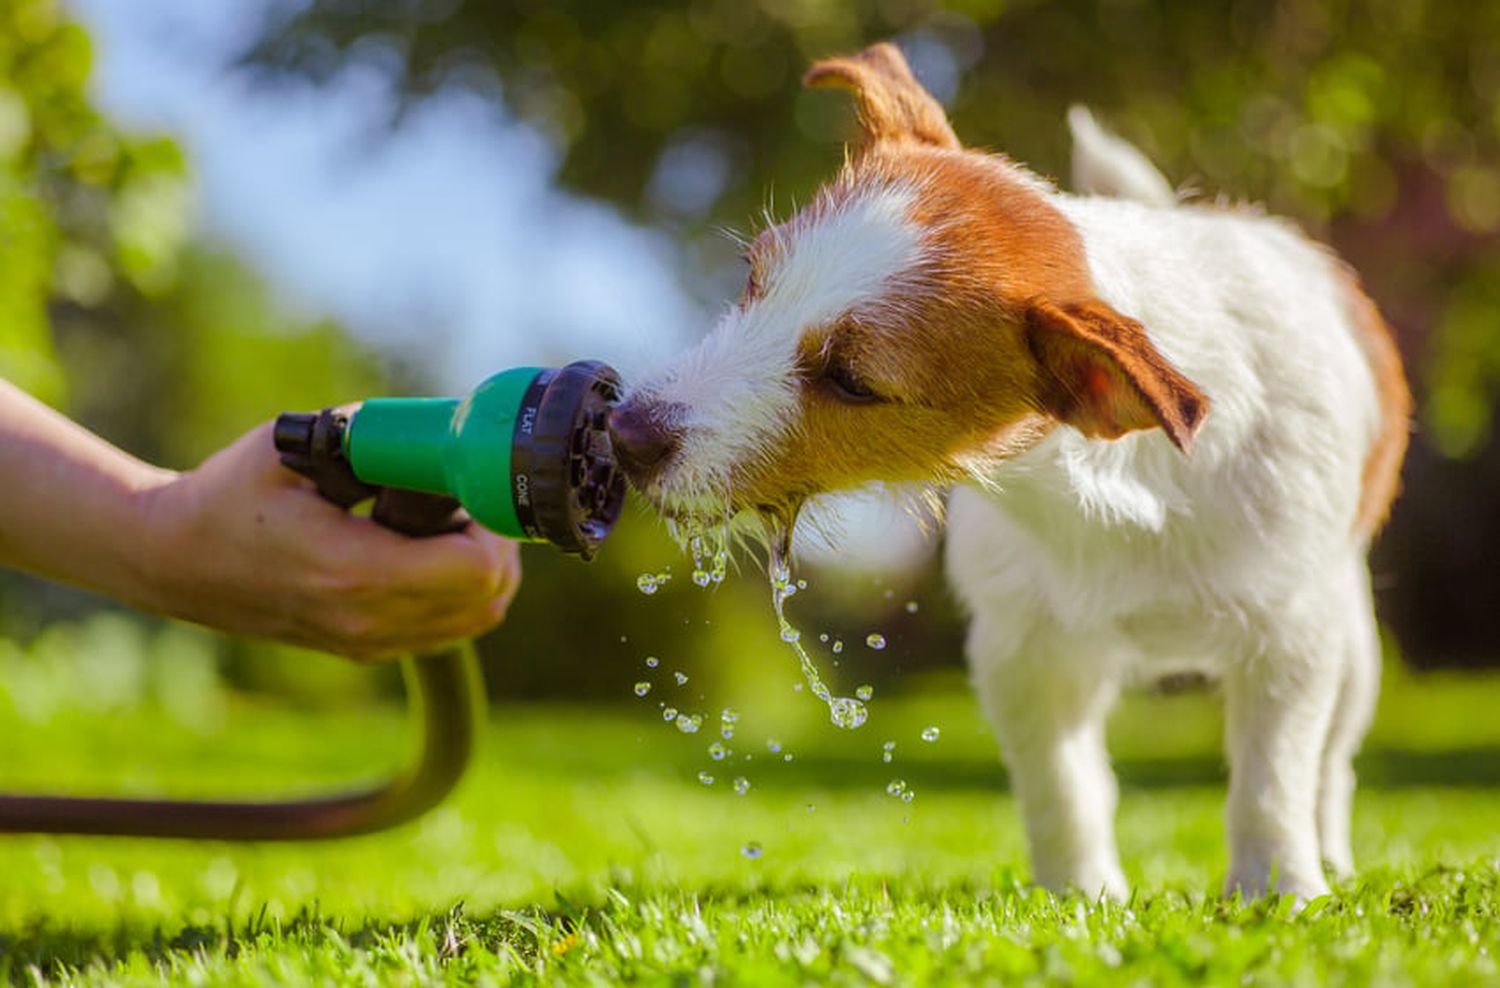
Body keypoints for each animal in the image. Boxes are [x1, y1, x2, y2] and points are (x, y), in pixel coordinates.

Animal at [609, 42, 1404, 899]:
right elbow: (1062, 785)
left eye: (851, 379)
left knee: (1330, 766)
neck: (1113, 495)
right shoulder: (1022, 650)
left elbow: (1271, 775)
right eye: (753, 278)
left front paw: (1277, 889)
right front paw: (1081, 895)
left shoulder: (1290, 641)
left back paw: (1330, 856)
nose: (625, 433)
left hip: (1353, 647)